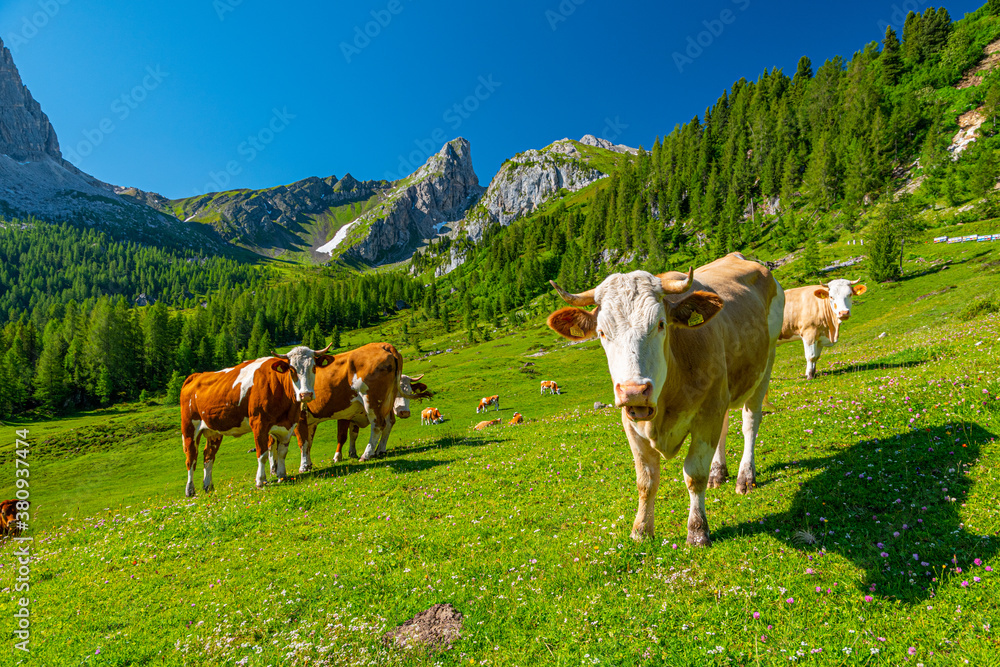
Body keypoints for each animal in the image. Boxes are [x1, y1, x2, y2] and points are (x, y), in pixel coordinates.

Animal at [180, 345, 333, 496]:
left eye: (314, 367)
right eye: (291, 370)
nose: (305, 394)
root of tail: (196, 376)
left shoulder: (288, 426)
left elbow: (282, 452)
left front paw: (282, 476)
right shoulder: (259, 424)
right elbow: (262, 454)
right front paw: (261, 481)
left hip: (213, 431)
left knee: (208, 456)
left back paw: (208, 486)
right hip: (189, 428)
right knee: (191, 459)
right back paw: (190, 490)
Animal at [292, 343, 432, 468]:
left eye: (410, 391)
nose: (404, 412)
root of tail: (384, 345)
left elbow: (337, 436)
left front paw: (335, 458)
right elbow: (311, 441)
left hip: (372, 400)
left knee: (378, 425)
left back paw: (367, 454)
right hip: (385, 402)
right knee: (388, 423)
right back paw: (379, 450)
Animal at [547, 253, 784, 546]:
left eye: (660, 324)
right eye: (602, 332)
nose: (634, 390)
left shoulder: (707, 413)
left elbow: (694, 474)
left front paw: (697, 531)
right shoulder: (632, 424)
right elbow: (646, 481)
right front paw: (640, 530)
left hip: (765, 365)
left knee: (750, 422)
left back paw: (745, 477)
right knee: (726, 425)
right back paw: (719, 473)